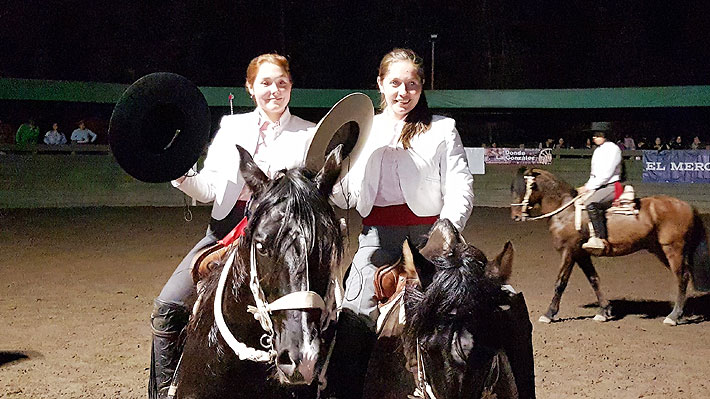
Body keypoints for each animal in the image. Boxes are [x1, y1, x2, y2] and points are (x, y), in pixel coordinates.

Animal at [512, 167, 710, 326]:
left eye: (525, 187)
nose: (515, 216)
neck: (566, 211)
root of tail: (687, 206)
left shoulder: (569, 251)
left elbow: (560, 282)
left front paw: (548, 314)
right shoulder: (581, 254)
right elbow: (594, 279)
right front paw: (604, 311)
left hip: (673, 249)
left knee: (682, 277)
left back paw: (673, 316)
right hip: (660, 250)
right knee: (684, 276)